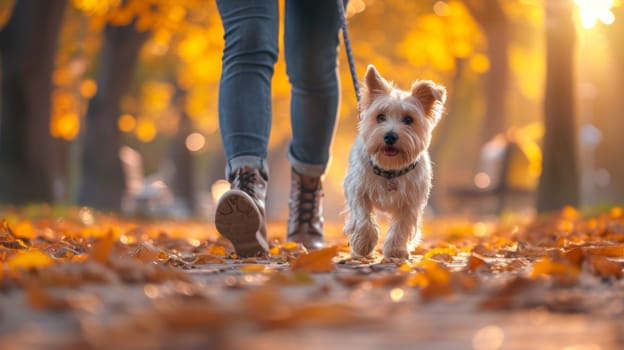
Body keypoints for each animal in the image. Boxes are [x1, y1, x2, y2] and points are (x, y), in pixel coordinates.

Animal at [344, 64, 446, 260]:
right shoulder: (358, 190)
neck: (390, 169)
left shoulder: (411, 202)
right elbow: (363, 218)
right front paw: (363, 243)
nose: (390, 136)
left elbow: (402, 226)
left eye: (408, 119)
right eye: (380, 117)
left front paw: (396, 250)